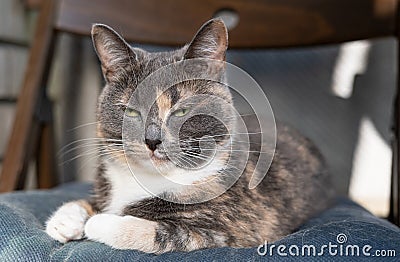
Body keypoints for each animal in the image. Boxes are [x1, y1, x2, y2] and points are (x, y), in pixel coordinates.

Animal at [46, 18, 334, 254]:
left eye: (181, 110)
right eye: (130, 111)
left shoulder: (230, 230)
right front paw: (65, 220)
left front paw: (97, 222)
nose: (152, 140)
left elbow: (148, 231)